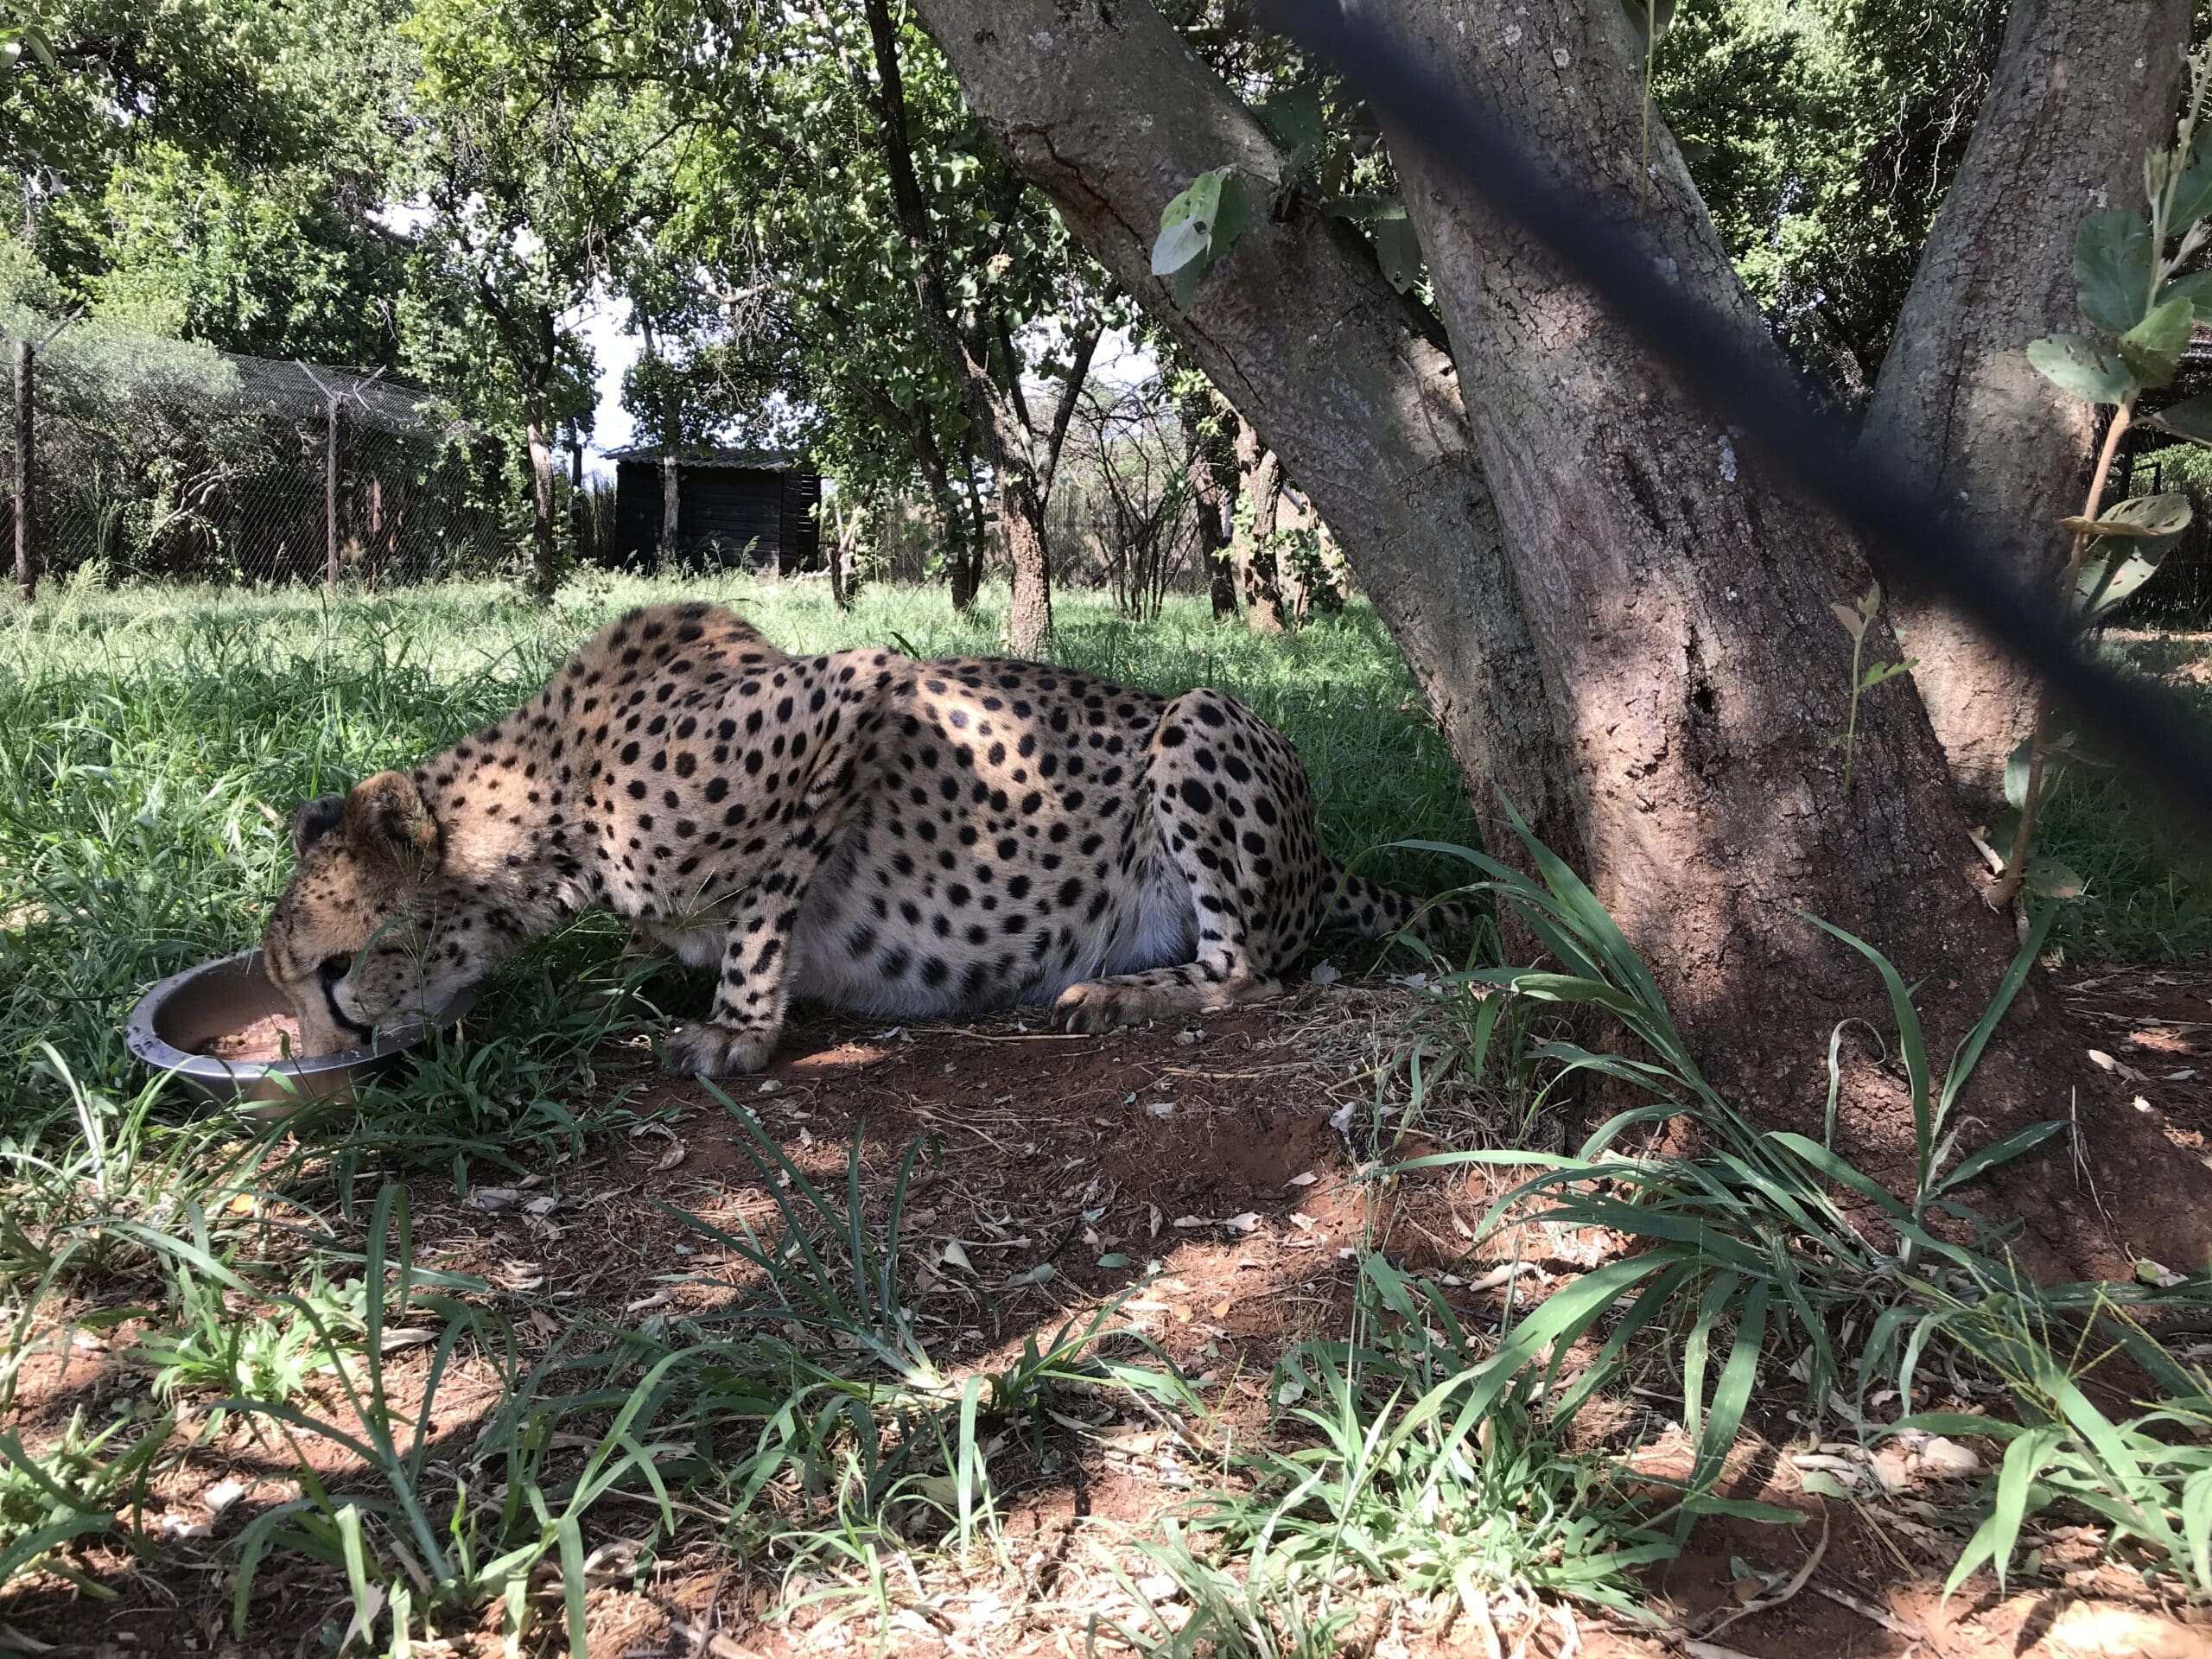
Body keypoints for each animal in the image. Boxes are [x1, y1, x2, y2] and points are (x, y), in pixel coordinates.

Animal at [262, 602, 1463, 1075]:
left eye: (332, 974)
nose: (313, 1059)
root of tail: (1323, 857)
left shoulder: (857, 689)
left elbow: (762, 910)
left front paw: (736, 1028)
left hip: (1198, 720)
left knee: (1252, 970)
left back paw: (1126, 993)